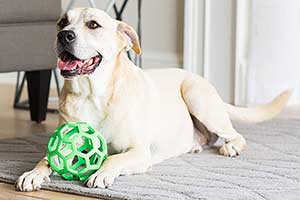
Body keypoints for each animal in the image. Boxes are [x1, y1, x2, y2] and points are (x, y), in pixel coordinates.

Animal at [15, 7, 290, 191]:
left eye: (93, 25)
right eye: (62, 22)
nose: (64, 35)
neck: (92, 94)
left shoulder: (139, 152)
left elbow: (114, 157)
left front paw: (102, 173)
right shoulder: (62, 143)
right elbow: (46, 158)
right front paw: (33, 173)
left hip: (196, 95)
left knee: (234, 134)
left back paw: (231, 146)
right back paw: (195, 143)